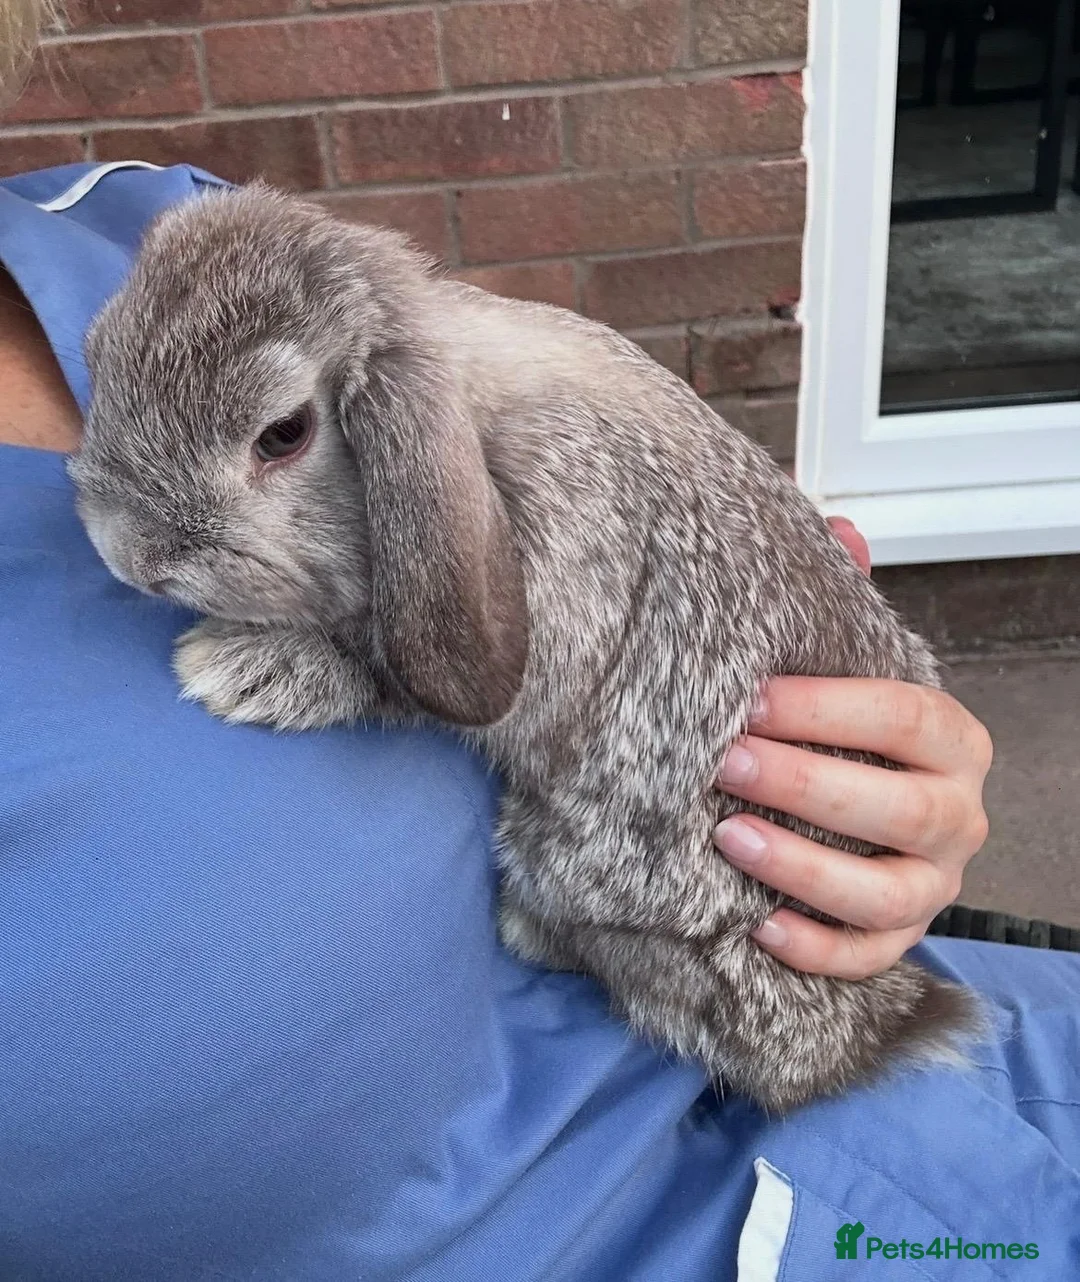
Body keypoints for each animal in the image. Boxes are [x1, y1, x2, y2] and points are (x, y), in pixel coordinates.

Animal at [70, 183, 982, 1114]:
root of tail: (851, 1039)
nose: (129, 554)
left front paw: (234, 671)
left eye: (284, 433)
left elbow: (384, 673)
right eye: (95, 357)